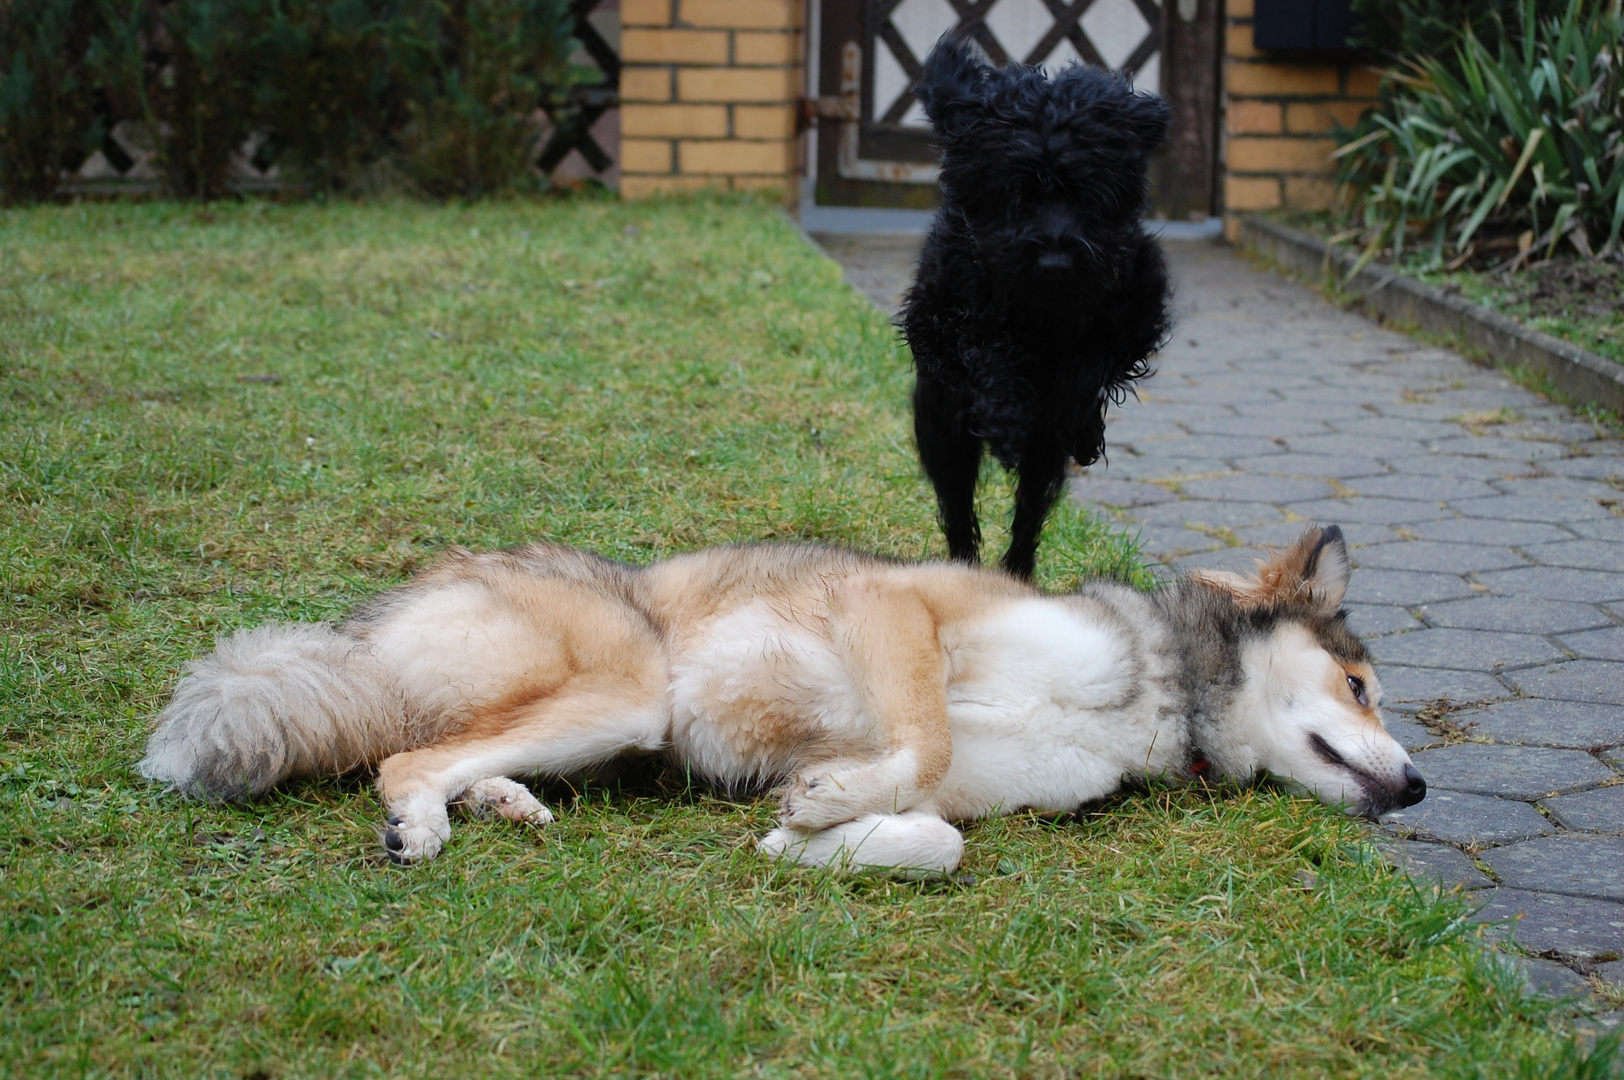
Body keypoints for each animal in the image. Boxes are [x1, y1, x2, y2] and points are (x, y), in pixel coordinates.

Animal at [142, 522, 1435, 870]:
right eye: (1361, 685)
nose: (1422, 786)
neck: (1158, 683)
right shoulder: (896, 608)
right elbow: (918, 741)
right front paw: (824, 802)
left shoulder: (970, 799)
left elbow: (933, 838)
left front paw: (807, 831)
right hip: (627, 689)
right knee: (407, 760)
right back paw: (422, 821)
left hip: (607, 732)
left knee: (464, 751)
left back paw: (502, 800)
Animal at [902, 39, 1169, 581]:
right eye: (1015, 190)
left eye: (1090, 192)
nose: (1055, 262)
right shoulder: (935, 318)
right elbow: (981, 346)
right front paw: (1006, 417)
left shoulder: (1137, 306)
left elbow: (1090, 364)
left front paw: (1080, 420)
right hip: (942, 431)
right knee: (957, 506)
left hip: (1040, 462)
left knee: (1029, 510)